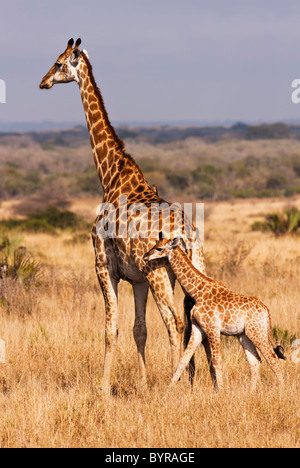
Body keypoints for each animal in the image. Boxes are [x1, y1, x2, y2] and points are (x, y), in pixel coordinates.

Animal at [39, 38, 206, 394]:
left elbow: (110, 328)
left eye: (59, 63)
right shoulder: (137, 278)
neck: (110, 176)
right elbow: (138, 329)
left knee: (175, 322)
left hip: (161, 273)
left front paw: (103, 388)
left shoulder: (104, 266)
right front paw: (142, 385)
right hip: (195, 265)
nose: (43, 82)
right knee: (192, 321)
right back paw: (199, 382)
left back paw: (175, 384)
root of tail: (187, 233)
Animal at [144, 238, 286, 392]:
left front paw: (221, 391)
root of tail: (266, 310)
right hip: (244, 335)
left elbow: (216, 361)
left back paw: (282, 389)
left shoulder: (212, 328)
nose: (145, 256)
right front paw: (169, 389)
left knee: (272, 357)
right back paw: (251, 392)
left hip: (257, 332)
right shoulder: (198, 328)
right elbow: (184, 359)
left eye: (159, 248)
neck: (197, 291)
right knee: (255, 361)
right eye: (155, 244)